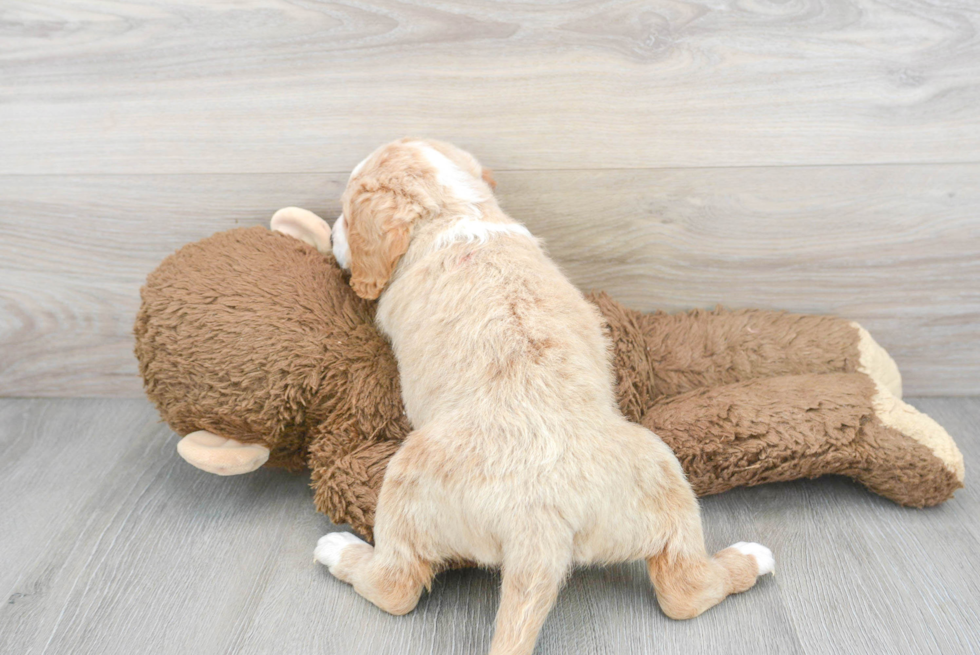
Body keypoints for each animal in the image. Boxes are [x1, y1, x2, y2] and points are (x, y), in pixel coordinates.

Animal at [318, 140, 776, 655]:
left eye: (347, 214)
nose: (329, 231)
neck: (456, 210)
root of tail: (539, 526)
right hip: (663, 475)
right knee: (684, 589)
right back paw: (752, 558)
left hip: (406, 481)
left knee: (396, 586)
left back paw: (339, 551)